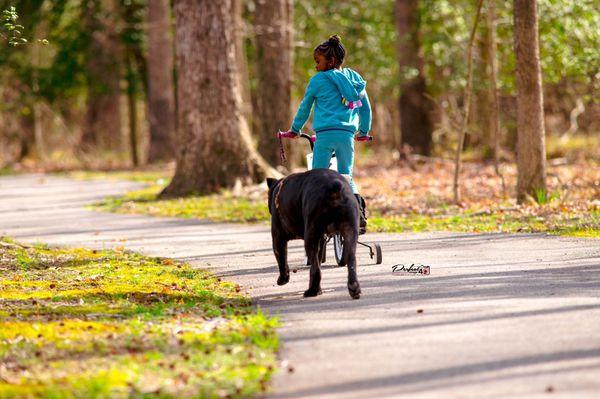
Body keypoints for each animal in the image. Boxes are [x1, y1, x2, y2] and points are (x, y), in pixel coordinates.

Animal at [268, 169, 360, 300]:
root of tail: (334, 188)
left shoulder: (278, 238)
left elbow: (282, 260)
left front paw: (283, 279)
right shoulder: (321, 240)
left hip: (310, 238)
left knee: (315, 268)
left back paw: (312, 291)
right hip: (349, 234)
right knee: (351, 261)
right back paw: (354, 288)